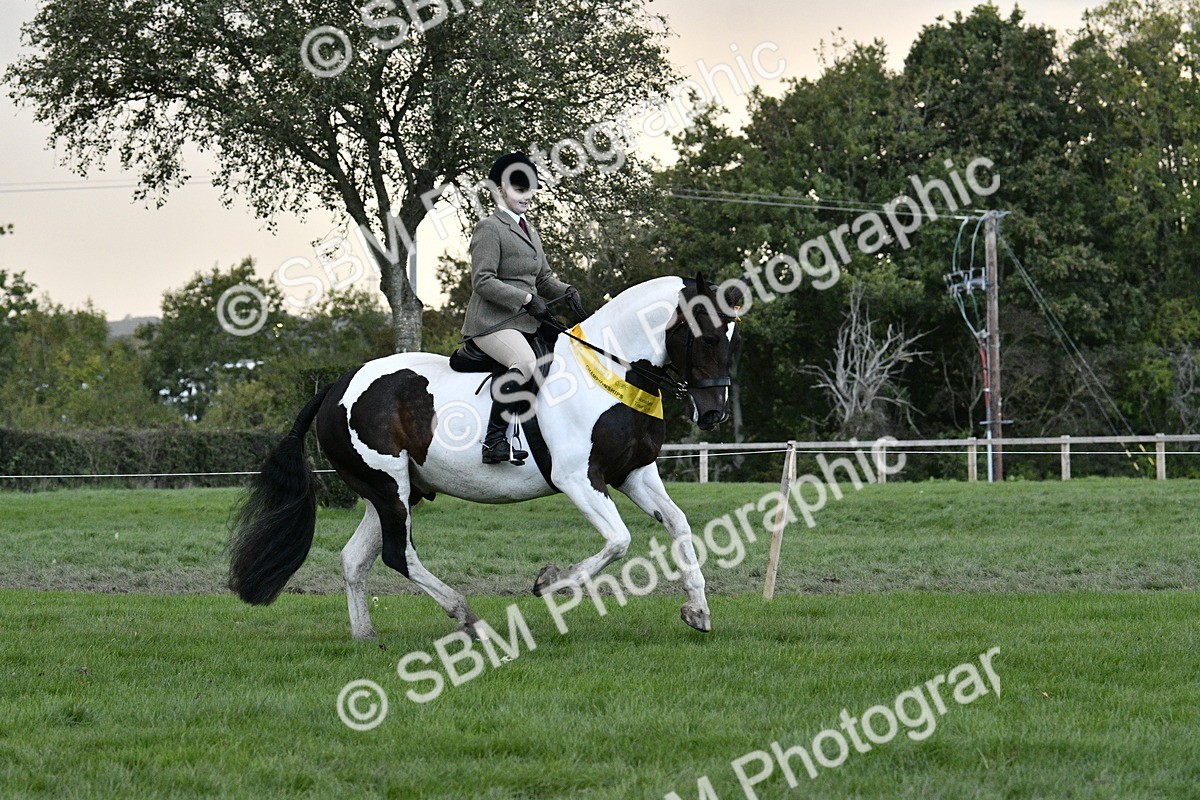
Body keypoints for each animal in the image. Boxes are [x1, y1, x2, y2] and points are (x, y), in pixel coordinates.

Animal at [228, 274, 741, 640]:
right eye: (708, 337)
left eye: (731, 338)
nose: (715, 412)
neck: (607, 373)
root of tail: (335, 386)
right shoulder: (578, 479)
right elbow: (618, 541)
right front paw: (551, 581)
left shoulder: (634, 473)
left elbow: (678, 525)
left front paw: (698, 610)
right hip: (388, 487)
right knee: (398, 554)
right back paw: (467, 617)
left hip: (395, 491)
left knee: (356, 559)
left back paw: (365, 636)